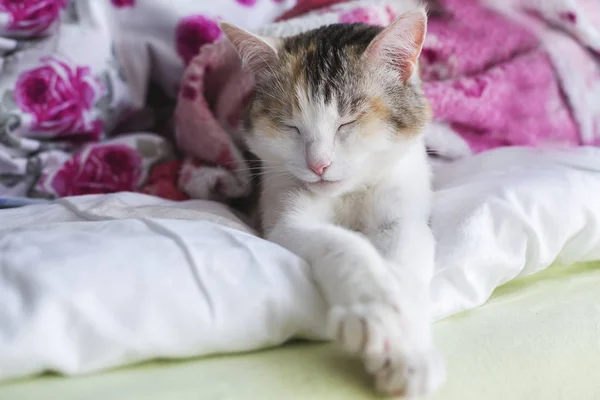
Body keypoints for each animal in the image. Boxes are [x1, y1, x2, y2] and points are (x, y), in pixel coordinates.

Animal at [221, 8, 446, 396]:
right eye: (290, 126)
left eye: (348, 122)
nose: (318, 165)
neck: (348, 193)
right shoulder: (285, 215)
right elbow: (346, 246)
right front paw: (375, 316)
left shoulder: (404, 214)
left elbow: (404, 268)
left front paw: (409, 354)